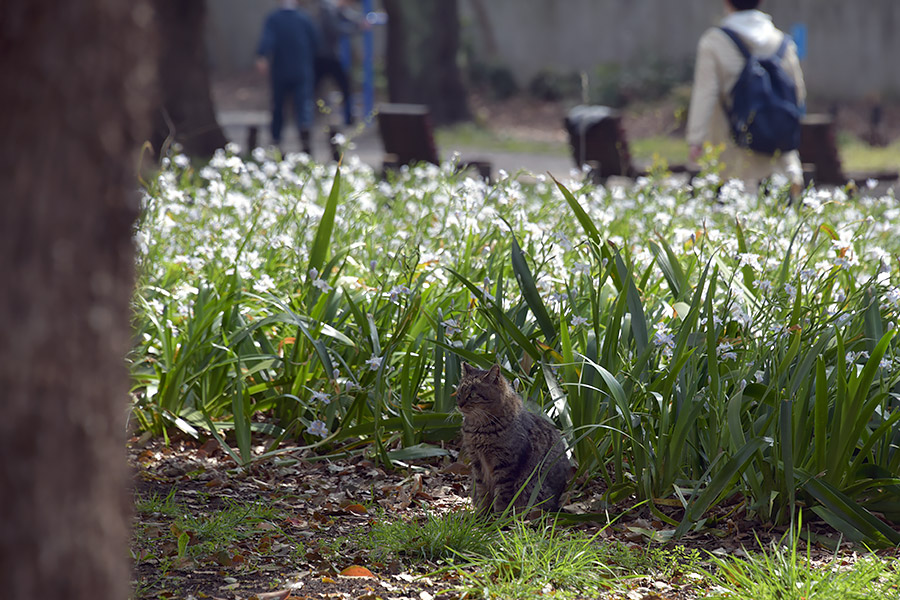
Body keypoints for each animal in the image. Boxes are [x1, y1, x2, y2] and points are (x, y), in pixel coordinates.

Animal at [458, 364, 568, 512]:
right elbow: (483, 493)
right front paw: (481, 515)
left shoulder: (506, 465)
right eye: (459, 392)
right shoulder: (477, 462)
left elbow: (501, 497)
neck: (480, 430)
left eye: (472, 394)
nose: (459, 404)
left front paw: (498, 517)